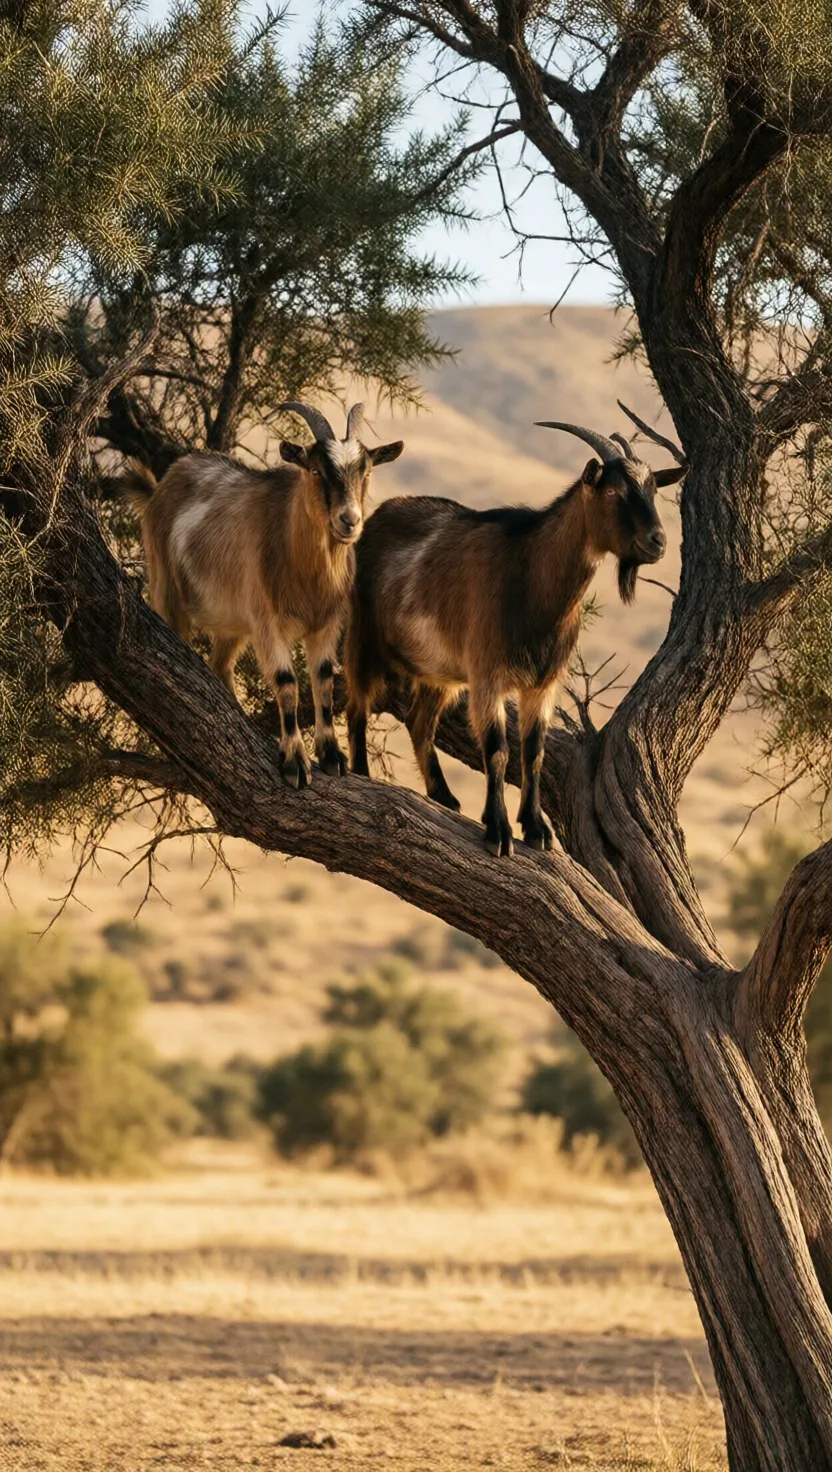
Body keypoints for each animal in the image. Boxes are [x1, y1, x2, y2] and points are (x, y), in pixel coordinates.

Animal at [121, 402, 403, 788]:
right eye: (315, 470)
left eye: (367, 472)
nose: (349, 521)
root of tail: (163, 484)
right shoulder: (268, 624)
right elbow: (286, 682)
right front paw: (295, 761)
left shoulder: (326, 625)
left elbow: (323, 681)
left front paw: (332, 755)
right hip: (167, 588)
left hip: (234, 624)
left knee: (220, 664)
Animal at [345, 419, 684, 856]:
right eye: (613, 491)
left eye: (653, 490)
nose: (658, 541)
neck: (531, 577)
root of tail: (375, 519)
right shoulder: (488, 676)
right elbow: (497, 750)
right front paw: (499, 831)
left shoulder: (542, 684)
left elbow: (533, 752)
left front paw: (535, 828)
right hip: (363, 638)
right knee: (357, 704)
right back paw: (360, 772)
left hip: (439, 673)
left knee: (419, 721)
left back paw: (445, 797)